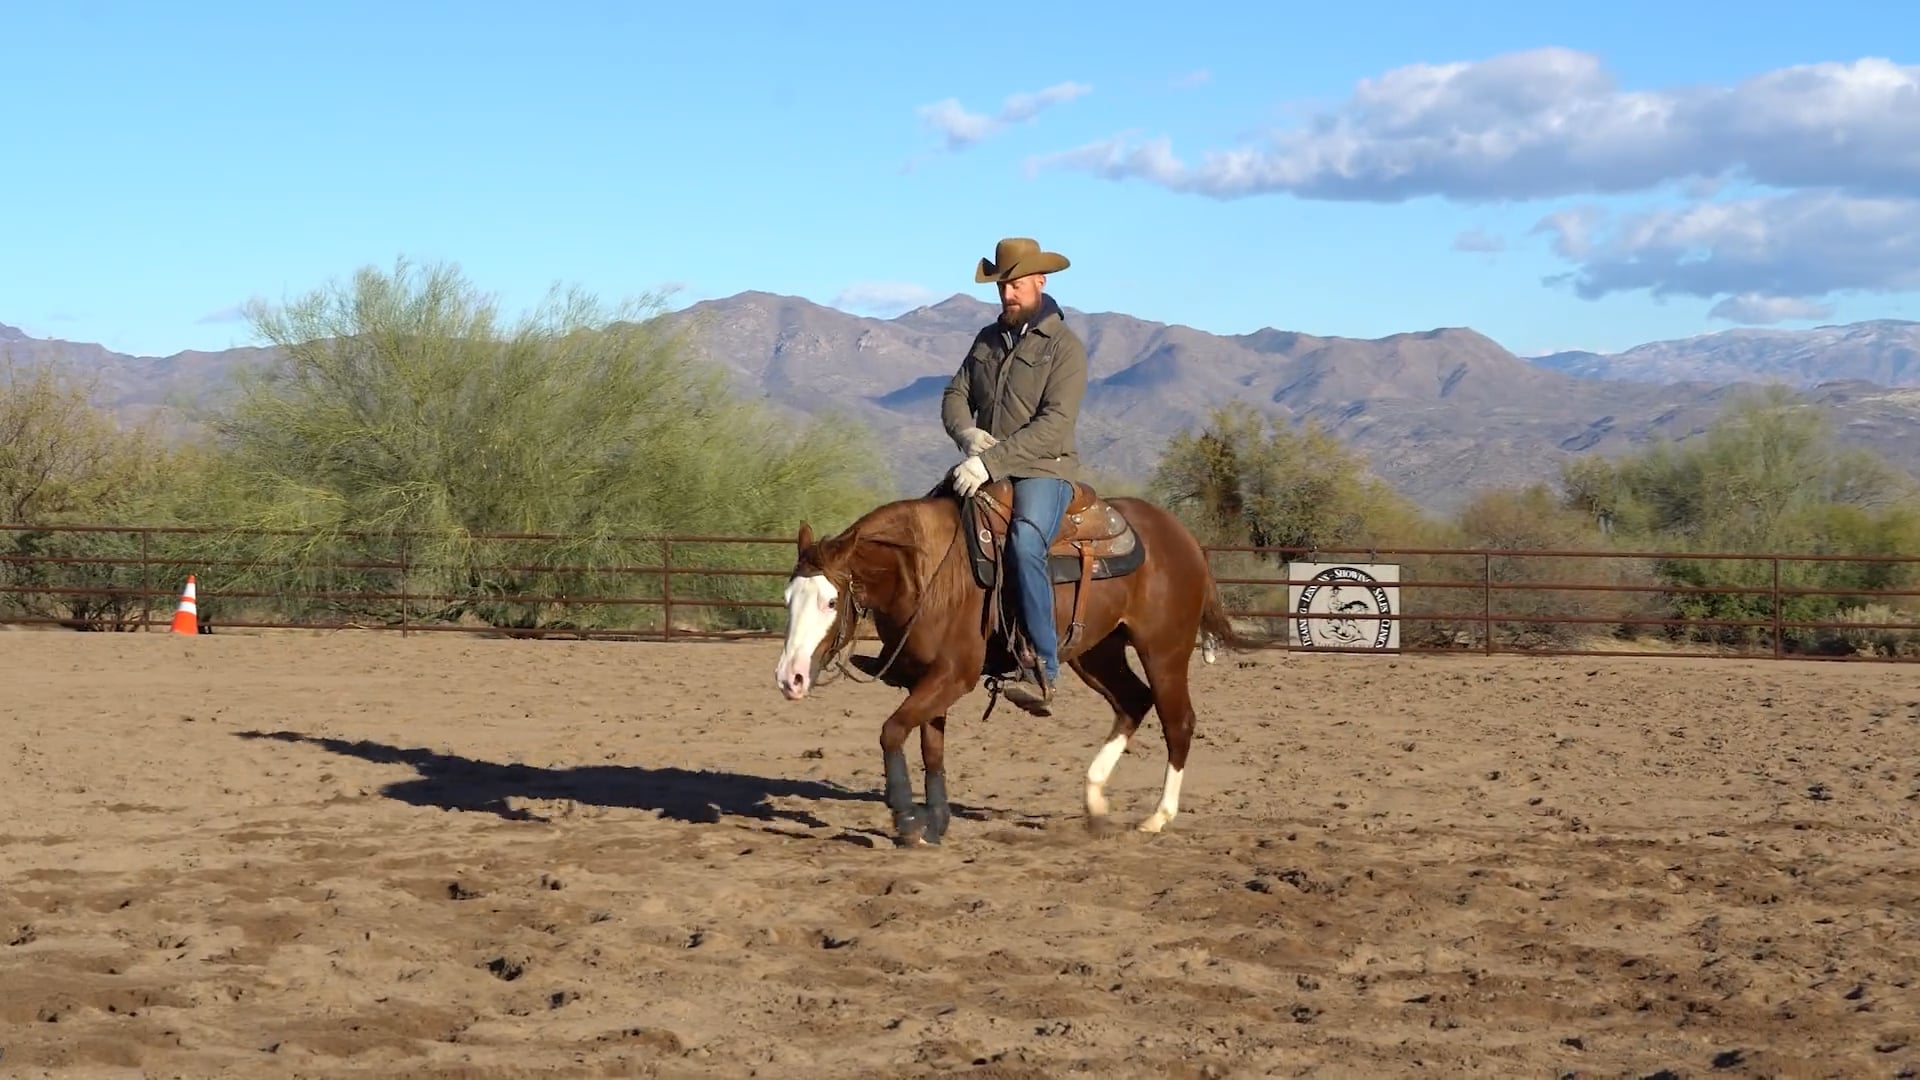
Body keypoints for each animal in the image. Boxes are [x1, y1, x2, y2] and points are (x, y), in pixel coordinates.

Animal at [772, 476, 1241, 848]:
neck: (926, 570)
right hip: (1096, 652)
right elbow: (931, 748)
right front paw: (935, 824)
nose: (789, 678)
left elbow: (892, 732)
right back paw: (1094, 802)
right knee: (1132, 701)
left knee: (1177, 720)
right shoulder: (926, 679)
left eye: (831, 601)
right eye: (788, 598)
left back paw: (1157, 817)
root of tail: (1184, 537)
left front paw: (906, 819)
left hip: (1164, 650)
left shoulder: (953, 675)